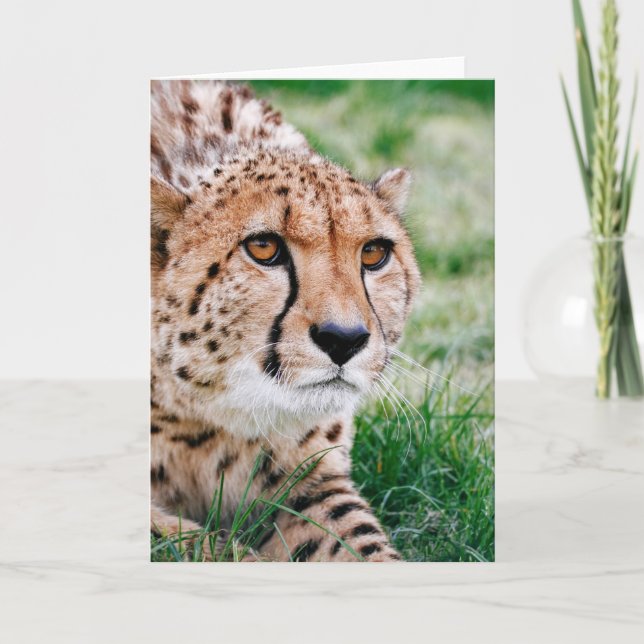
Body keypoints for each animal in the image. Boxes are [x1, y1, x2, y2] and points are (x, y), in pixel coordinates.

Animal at [150, 79, 420, 561]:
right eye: (263, 248)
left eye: (374, 253)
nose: (344, 339)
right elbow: (187, 541)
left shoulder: (309, 485)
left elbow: (360, 543)